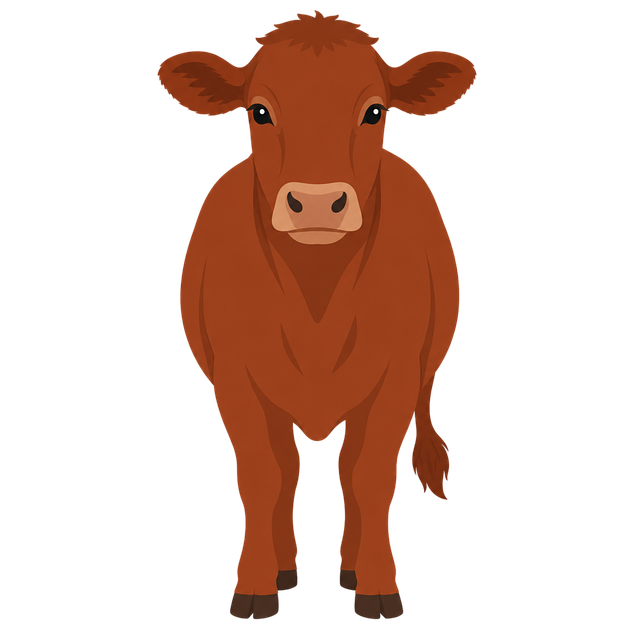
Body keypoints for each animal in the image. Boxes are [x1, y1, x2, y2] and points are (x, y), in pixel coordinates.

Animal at [158, 11, 476, 620]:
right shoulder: (235, 375)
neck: (316, 290)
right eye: (259, 110)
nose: (316, 203)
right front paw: (256, 585)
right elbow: (267, 475)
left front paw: (375, 585)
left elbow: (367, 475)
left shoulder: (396, 373)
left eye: (374, 110)